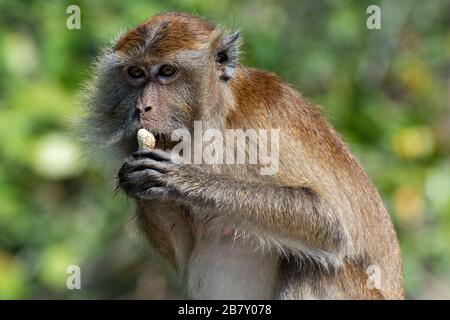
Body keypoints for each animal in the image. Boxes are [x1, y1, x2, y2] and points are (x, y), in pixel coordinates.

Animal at [84, 11, 404, 298]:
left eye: (167, 72)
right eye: (136, 73)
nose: (142, 107)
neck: (218, 120)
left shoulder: (265, 118)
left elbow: (329, 219)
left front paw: (184, 179)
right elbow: (185, 249)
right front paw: (138, 176)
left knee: (313, 266)